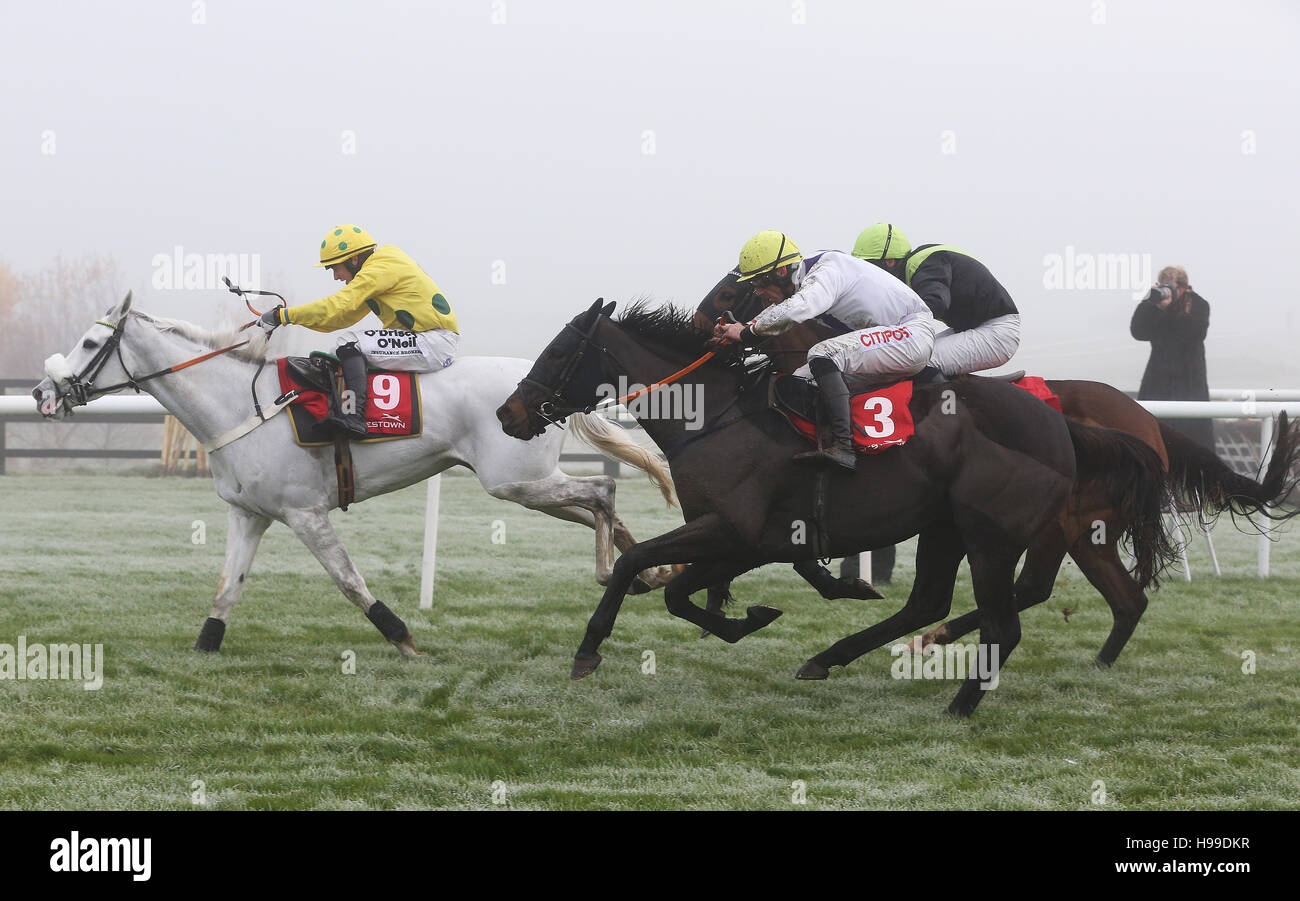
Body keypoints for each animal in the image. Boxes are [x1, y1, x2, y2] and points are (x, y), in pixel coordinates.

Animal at [34, 293, 676, 652]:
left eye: (89, 342)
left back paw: (619, 569)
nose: (43, 393)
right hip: (524, 485)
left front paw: (402, 636)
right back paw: (646, 569)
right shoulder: (248, 514)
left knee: (602, 487)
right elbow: (226, 588)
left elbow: (347, 580)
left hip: (515, 480)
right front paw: (205, 646)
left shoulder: (304, 513)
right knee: (597, 505)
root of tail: (538, 391)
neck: (242, 406)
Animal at [493, 299, 1170, 712]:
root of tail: (1063, 425)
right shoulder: (748, 539)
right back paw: (831, 657)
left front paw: (588, 650)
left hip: (992, 537)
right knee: (928, 602)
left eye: (558, 353)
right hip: (946, 527)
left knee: (1004, 622)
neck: (716, 416)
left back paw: (958, 705)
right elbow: (681, 591)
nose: (507, 412)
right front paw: (753, 617)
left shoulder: (732, 529)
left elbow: (643, 571)